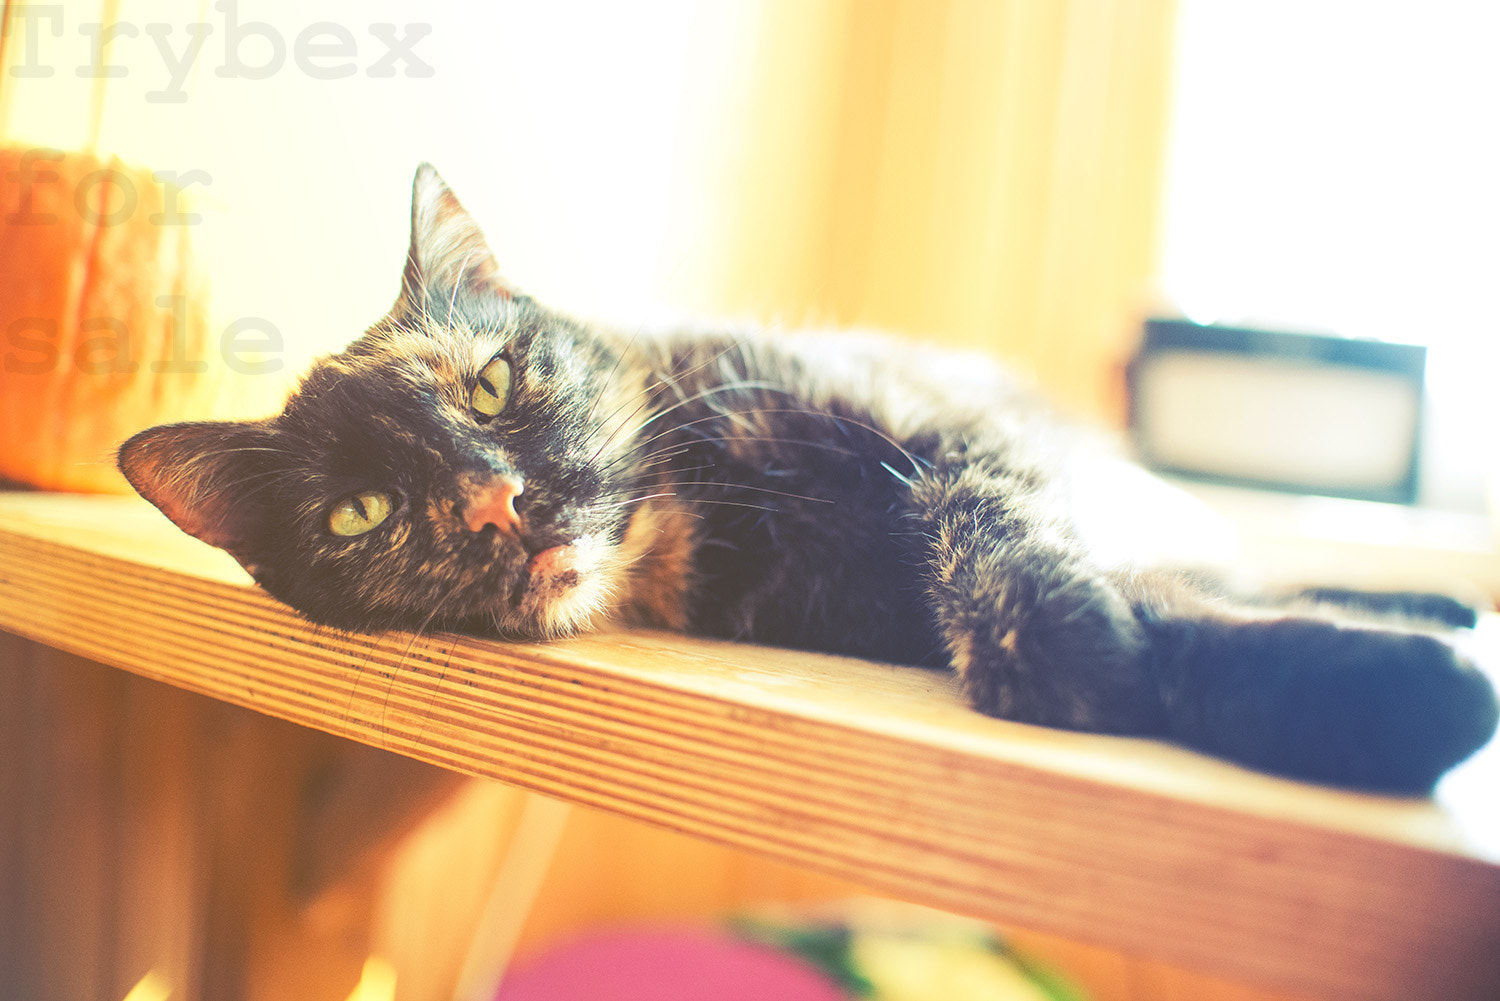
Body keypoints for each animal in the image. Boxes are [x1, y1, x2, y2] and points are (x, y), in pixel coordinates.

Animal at [120, 164, 1500, 792]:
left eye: (495, 386)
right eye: (363, 513)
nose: (492, 501)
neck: (699, 521)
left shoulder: (956, 442)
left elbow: (996, 544)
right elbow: (1152, 625)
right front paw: (1390, 704)